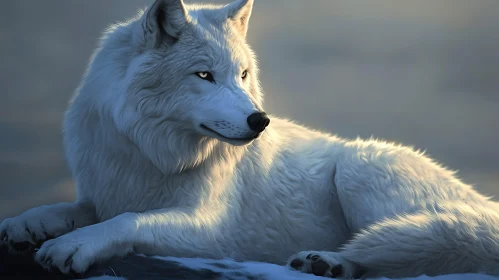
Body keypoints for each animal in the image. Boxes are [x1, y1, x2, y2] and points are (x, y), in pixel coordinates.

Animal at [0, 0, 499, 278]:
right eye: (204, 75)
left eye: (242, 74)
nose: (260, 120)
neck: (154, 154)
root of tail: (485, 206)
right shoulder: (101, 192)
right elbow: (72, 209)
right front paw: (26, 225)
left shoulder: (211, 228)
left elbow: (128, 222)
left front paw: (72, 247)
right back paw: (326, 265)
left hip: (360, 171)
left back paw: (330, 260)